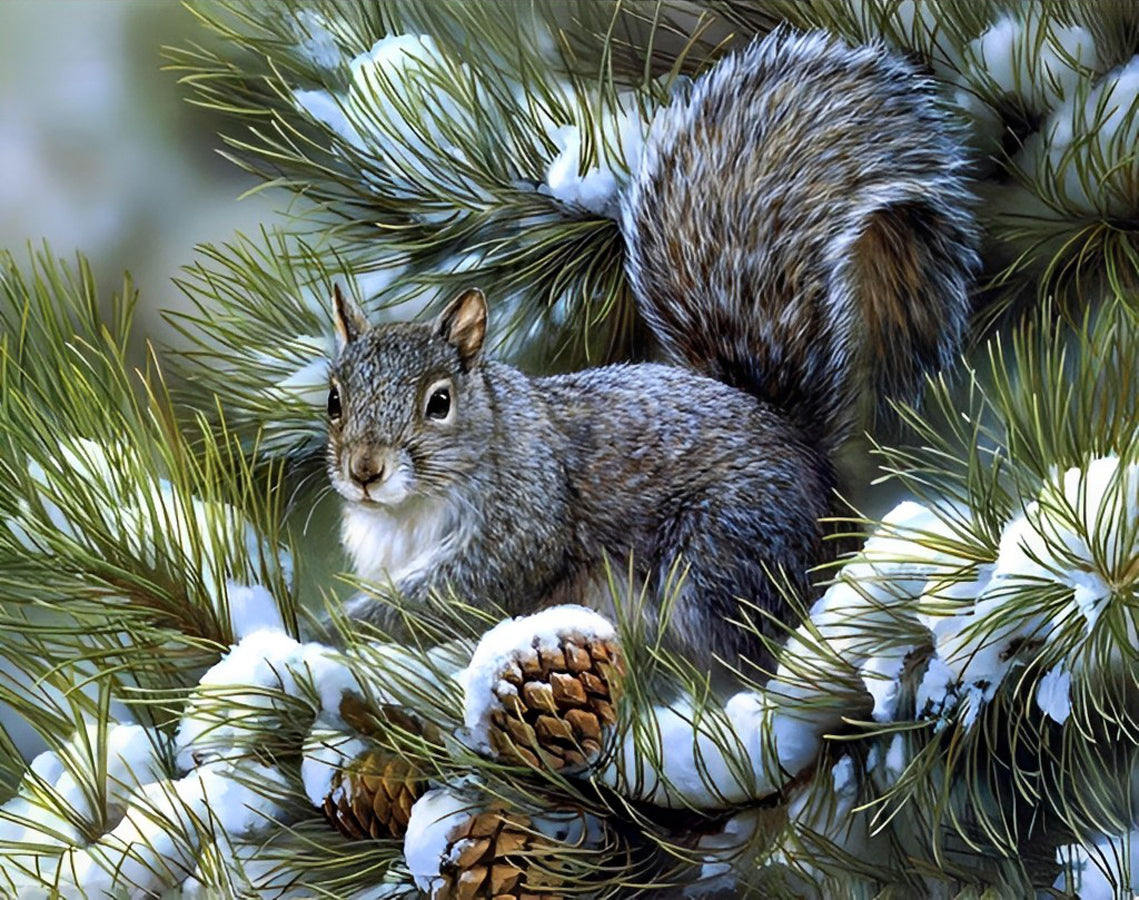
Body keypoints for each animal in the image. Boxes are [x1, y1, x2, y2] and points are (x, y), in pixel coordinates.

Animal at [325, 31, 978, 670]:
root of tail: (810, 458)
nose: (365, 471)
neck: (409, 509)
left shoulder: (523, 519)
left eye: (439, 402)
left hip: (722, 550)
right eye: (333, 400)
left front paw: (344, 628)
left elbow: (463, 591)